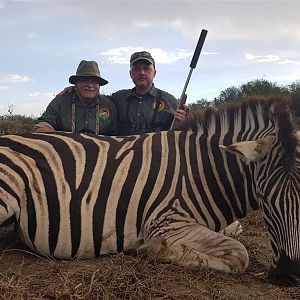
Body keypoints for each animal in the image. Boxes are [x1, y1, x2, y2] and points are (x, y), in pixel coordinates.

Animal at [0, 96, 298, 286]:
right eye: (264, 199)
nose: (289, 276)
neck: (202, 171)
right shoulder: (167, 222)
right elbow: (239, 254)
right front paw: (151, 250)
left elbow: (235, 231)